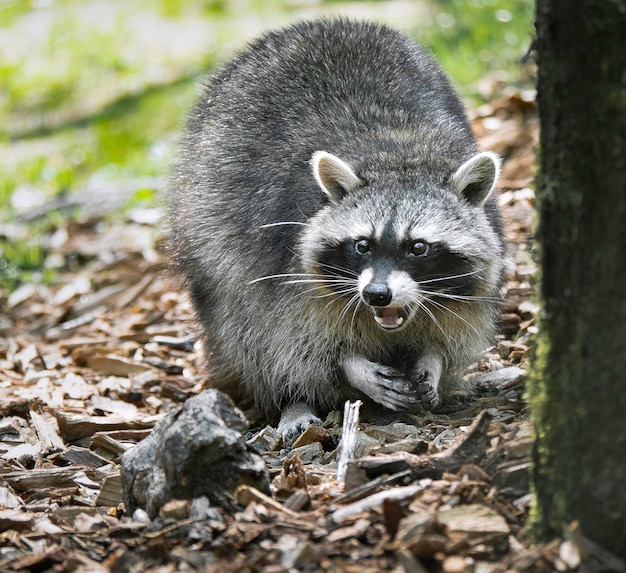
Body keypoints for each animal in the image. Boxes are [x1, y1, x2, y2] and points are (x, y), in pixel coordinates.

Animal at [168, 17, 504, 438]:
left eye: (418, 247)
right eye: (362, 245)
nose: (377, 295)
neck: (395, 154)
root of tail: (318, 23)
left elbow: (458, 324)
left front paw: (433, 356)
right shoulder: (280, 256)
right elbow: (285, 339)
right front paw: (348, 366)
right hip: (206, 221)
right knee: (240, 322)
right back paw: (290, 402)